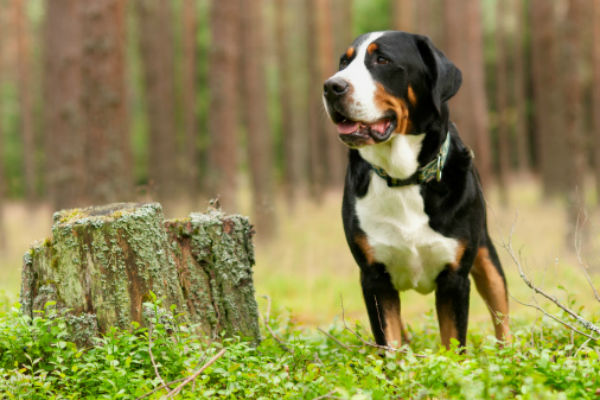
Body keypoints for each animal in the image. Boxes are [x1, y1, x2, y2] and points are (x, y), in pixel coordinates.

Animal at [324, 31, 510, 348]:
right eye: (344, 62)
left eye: (382, 59)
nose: (331, 86)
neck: (404, 178)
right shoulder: (374, 278)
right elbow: (389, 342)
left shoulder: (455, 279)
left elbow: (453, 344)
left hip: (486, 255)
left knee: (501, 312)